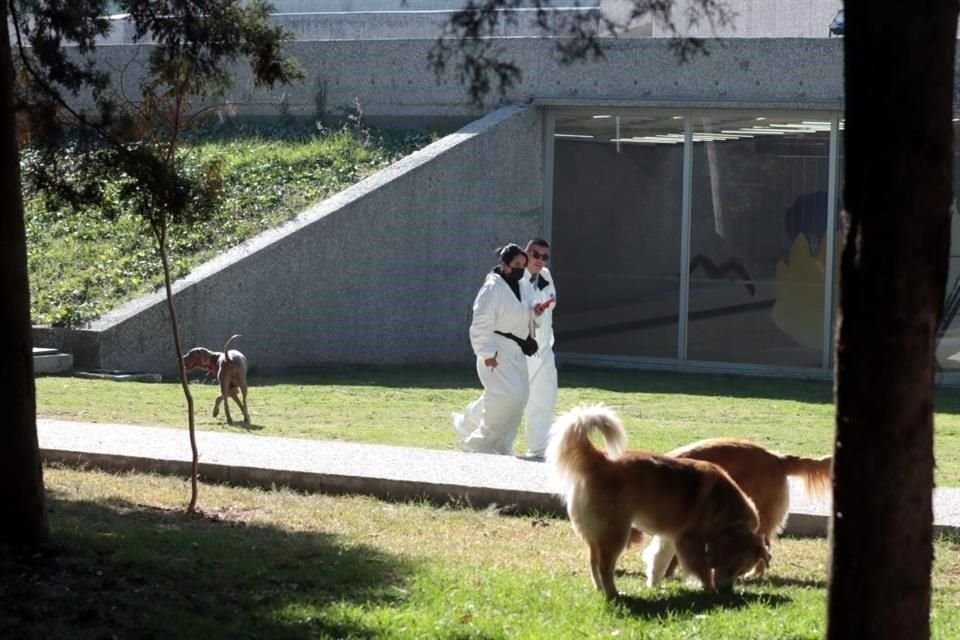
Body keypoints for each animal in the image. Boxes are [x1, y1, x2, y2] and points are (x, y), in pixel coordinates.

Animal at [548, 404, 764, 600]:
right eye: (733, 568)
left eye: (741, 571)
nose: (727, 592)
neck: (724, 511)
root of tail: (599, 459)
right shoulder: (689, 541)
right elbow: (701, 568)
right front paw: (710, 589)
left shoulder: (668, 537)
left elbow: (659, 560)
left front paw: (654, 585)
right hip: (616, 533)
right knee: (604, 567)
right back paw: (613, 593)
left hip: (596, 534)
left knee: (593, 562)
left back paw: (601, 590)